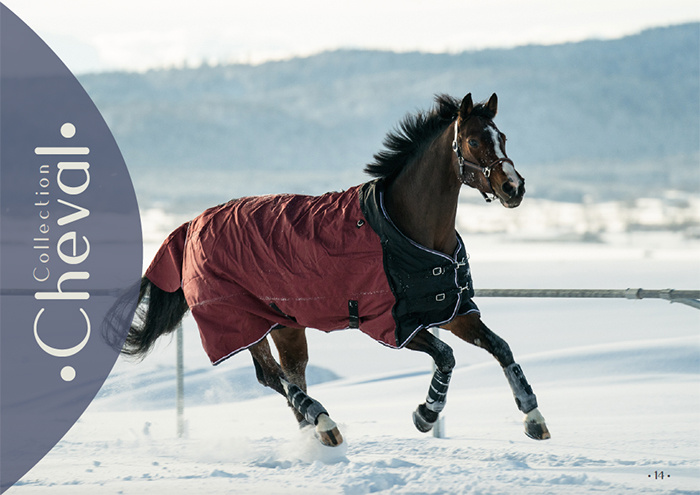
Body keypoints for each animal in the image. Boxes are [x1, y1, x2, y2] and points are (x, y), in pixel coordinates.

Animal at [124, 92, 552, 446]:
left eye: (503, 137)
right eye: (474, 141)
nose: (514, 188)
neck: (407, 230)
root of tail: (191, 225)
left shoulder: (448, 309)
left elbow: (500, 346)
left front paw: (534, 419)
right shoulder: (390, 325)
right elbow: (446, 356)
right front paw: (425, 415)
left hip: (285, 323)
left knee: (290, 373)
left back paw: (313, 433)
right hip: (240, 321)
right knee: (271, 376)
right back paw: (324, 423)